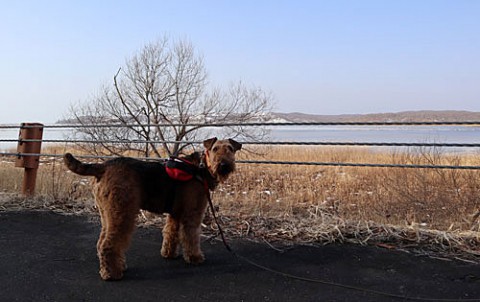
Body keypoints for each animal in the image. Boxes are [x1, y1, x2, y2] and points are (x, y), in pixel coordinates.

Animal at [63, 138, 242, 280]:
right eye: (215, 149)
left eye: (230, 149)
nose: (224, 165)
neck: (201, 168)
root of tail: (104, 165)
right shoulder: (192, 213)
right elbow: (191, 237)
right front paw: (195, 257)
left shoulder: (175, 214)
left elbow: (171, 234)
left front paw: (169, 254)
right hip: (122, 213)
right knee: (108, 244)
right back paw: (112, 274)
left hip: (107, 214)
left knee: (101, 243)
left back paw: (116, 266)